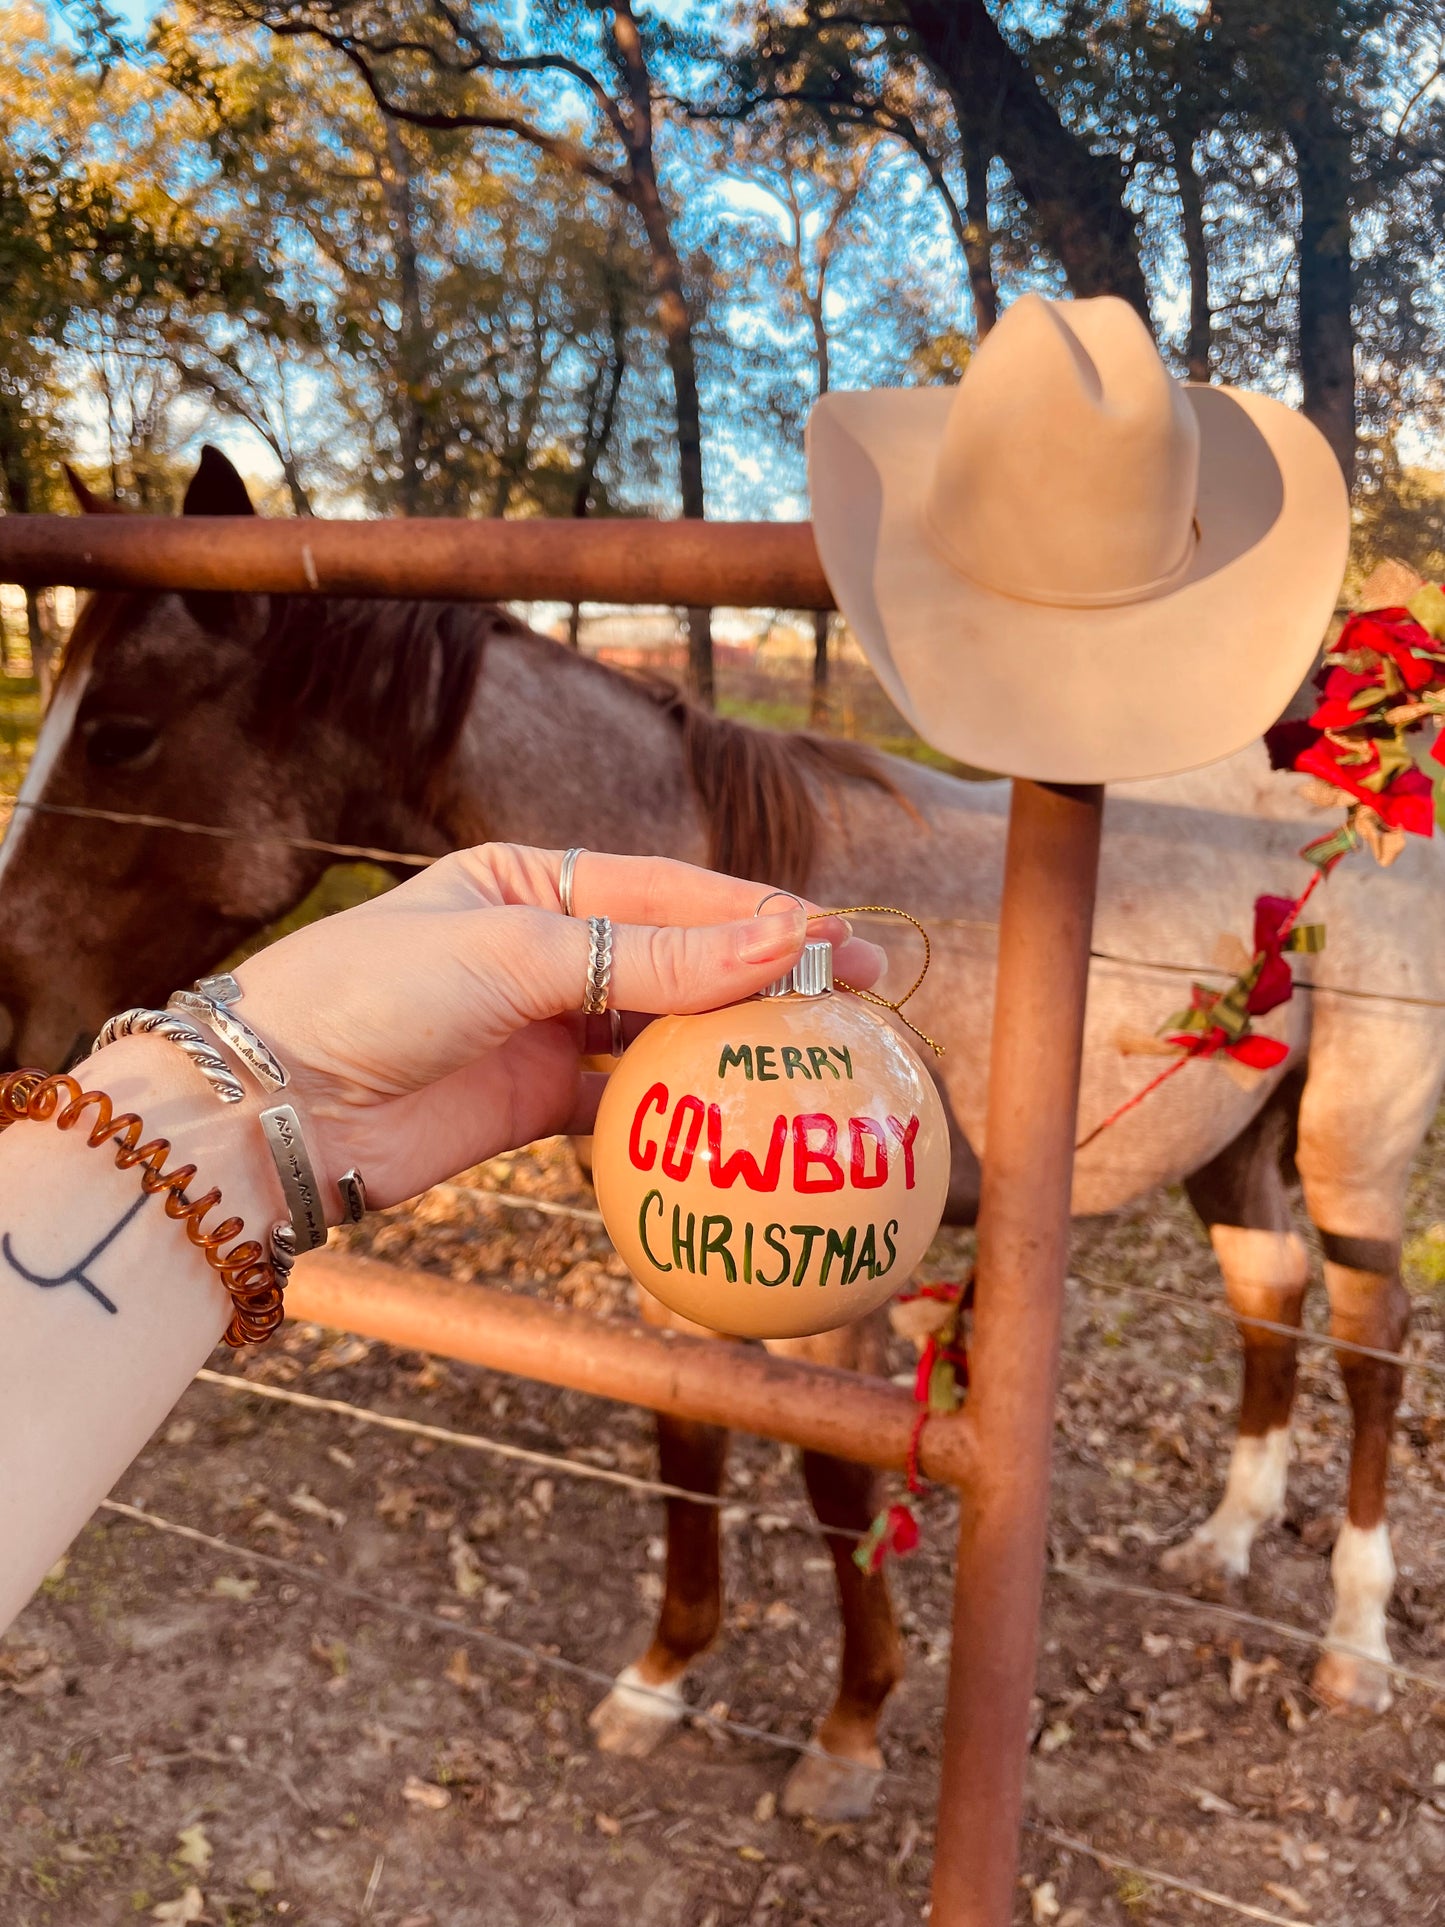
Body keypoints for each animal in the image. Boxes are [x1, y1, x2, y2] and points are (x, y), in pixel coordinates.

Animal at [2, 447, 1445, 1803]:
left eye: (121, 733)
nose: (13, 1015)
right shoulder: (672, 1275)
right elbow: (686, 1436)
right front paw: (660, 1675)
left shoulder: (844, 1300)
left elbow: (832, 1477)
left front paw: (850, 1729)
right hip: (1233, 1143)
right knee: (1266, 1301)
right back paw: (1225, 1538)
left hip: (1351, 1157)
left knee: (1370, 1347)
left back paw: (1354, 1640)